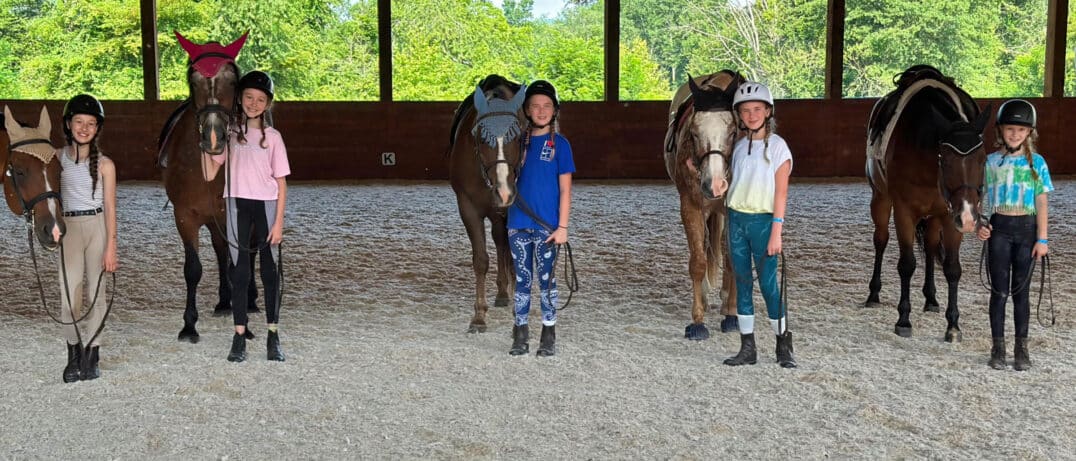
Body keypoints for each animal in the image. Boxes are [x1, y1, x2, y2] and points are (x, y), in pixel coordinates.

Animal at [157, 32, 251, 342]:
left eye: (233, 81)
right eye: (193, 81)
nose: (213, 138)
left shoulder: (233, 214)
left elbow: (238, 264)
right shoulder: (185, 216)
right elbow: (193, 269)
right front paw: (189, 325)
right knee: (220, 251)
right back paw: (224, 301)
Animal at [447, 73, 527, 333]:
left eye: (518, 136)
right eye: (481, 137)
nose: (503, 191)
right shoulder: (468, 208)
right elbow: (481, 260)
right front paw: (479, 316)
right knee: (500, 242)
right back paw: (502, 292)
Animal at [658, 70, 744, 340]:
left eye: (732, 131)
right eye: (694, 133)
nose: (714, 185)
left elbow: (733, 261)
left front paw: (732, 314)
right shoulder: (691, 206)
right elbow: (698, 261)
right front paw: (697, 320)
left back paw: (726, 300)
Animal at [865, 64, 989, 342]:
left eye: (983, 159)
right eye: (946, 159)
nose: (969, 217)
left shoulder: (951, 216)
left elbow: (952, 268)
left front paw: (953, 325)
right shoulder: (903, 212)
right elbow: (907, 264)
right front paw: (903, 320)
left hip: (937, 215)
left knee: (931, 248)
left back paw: (931, 298)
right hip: (880, 198)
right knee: (880, 240)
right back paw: (873, 294)